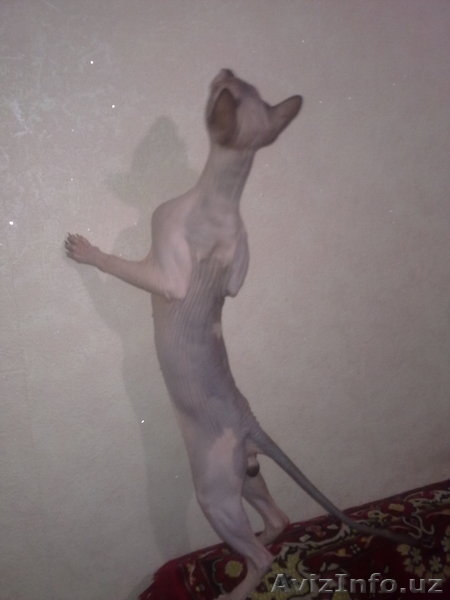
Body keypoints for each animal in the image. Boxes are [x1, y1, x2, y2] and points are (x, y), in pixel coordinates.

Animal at [65, 69, 414, 600]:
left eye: (222, 91)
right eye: (242, 83)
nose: (224, 70)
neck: (224, 194)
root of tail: (249, 422)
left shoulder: (166, 271)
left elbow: (125, 266)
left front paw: (87, 252)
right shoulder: (237, 275)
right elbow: (232, 283)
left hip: (212, 491)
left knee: (262, 553)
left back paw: (235, 584)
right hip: (243, 476)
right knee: (279, 518)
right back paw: (254, 544)